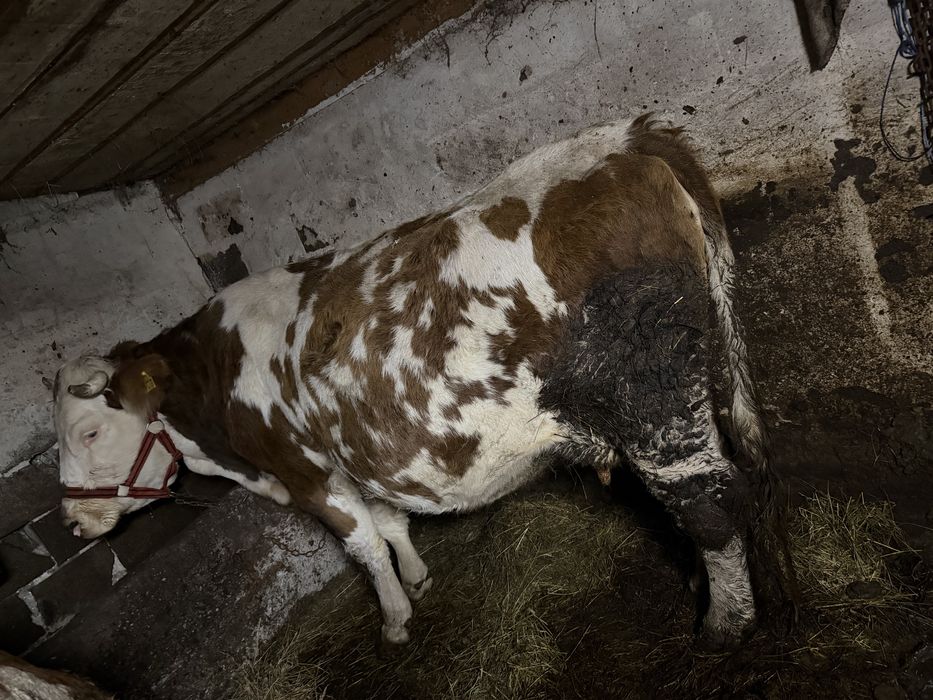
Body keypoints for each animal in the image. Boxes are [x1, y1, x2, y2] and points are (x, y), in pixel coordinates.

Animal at [53, 116, 792, 649]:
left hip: (649, 397)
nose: (71, 520)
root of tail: (625, 140)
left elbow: (364, 547)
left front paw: (394, 618)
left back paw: (723, 625)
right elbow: (391, 522)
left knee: (708, 503)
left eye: (88, 431)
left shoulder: (308, 472)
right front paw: (419, 576)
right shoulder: (359, 458)